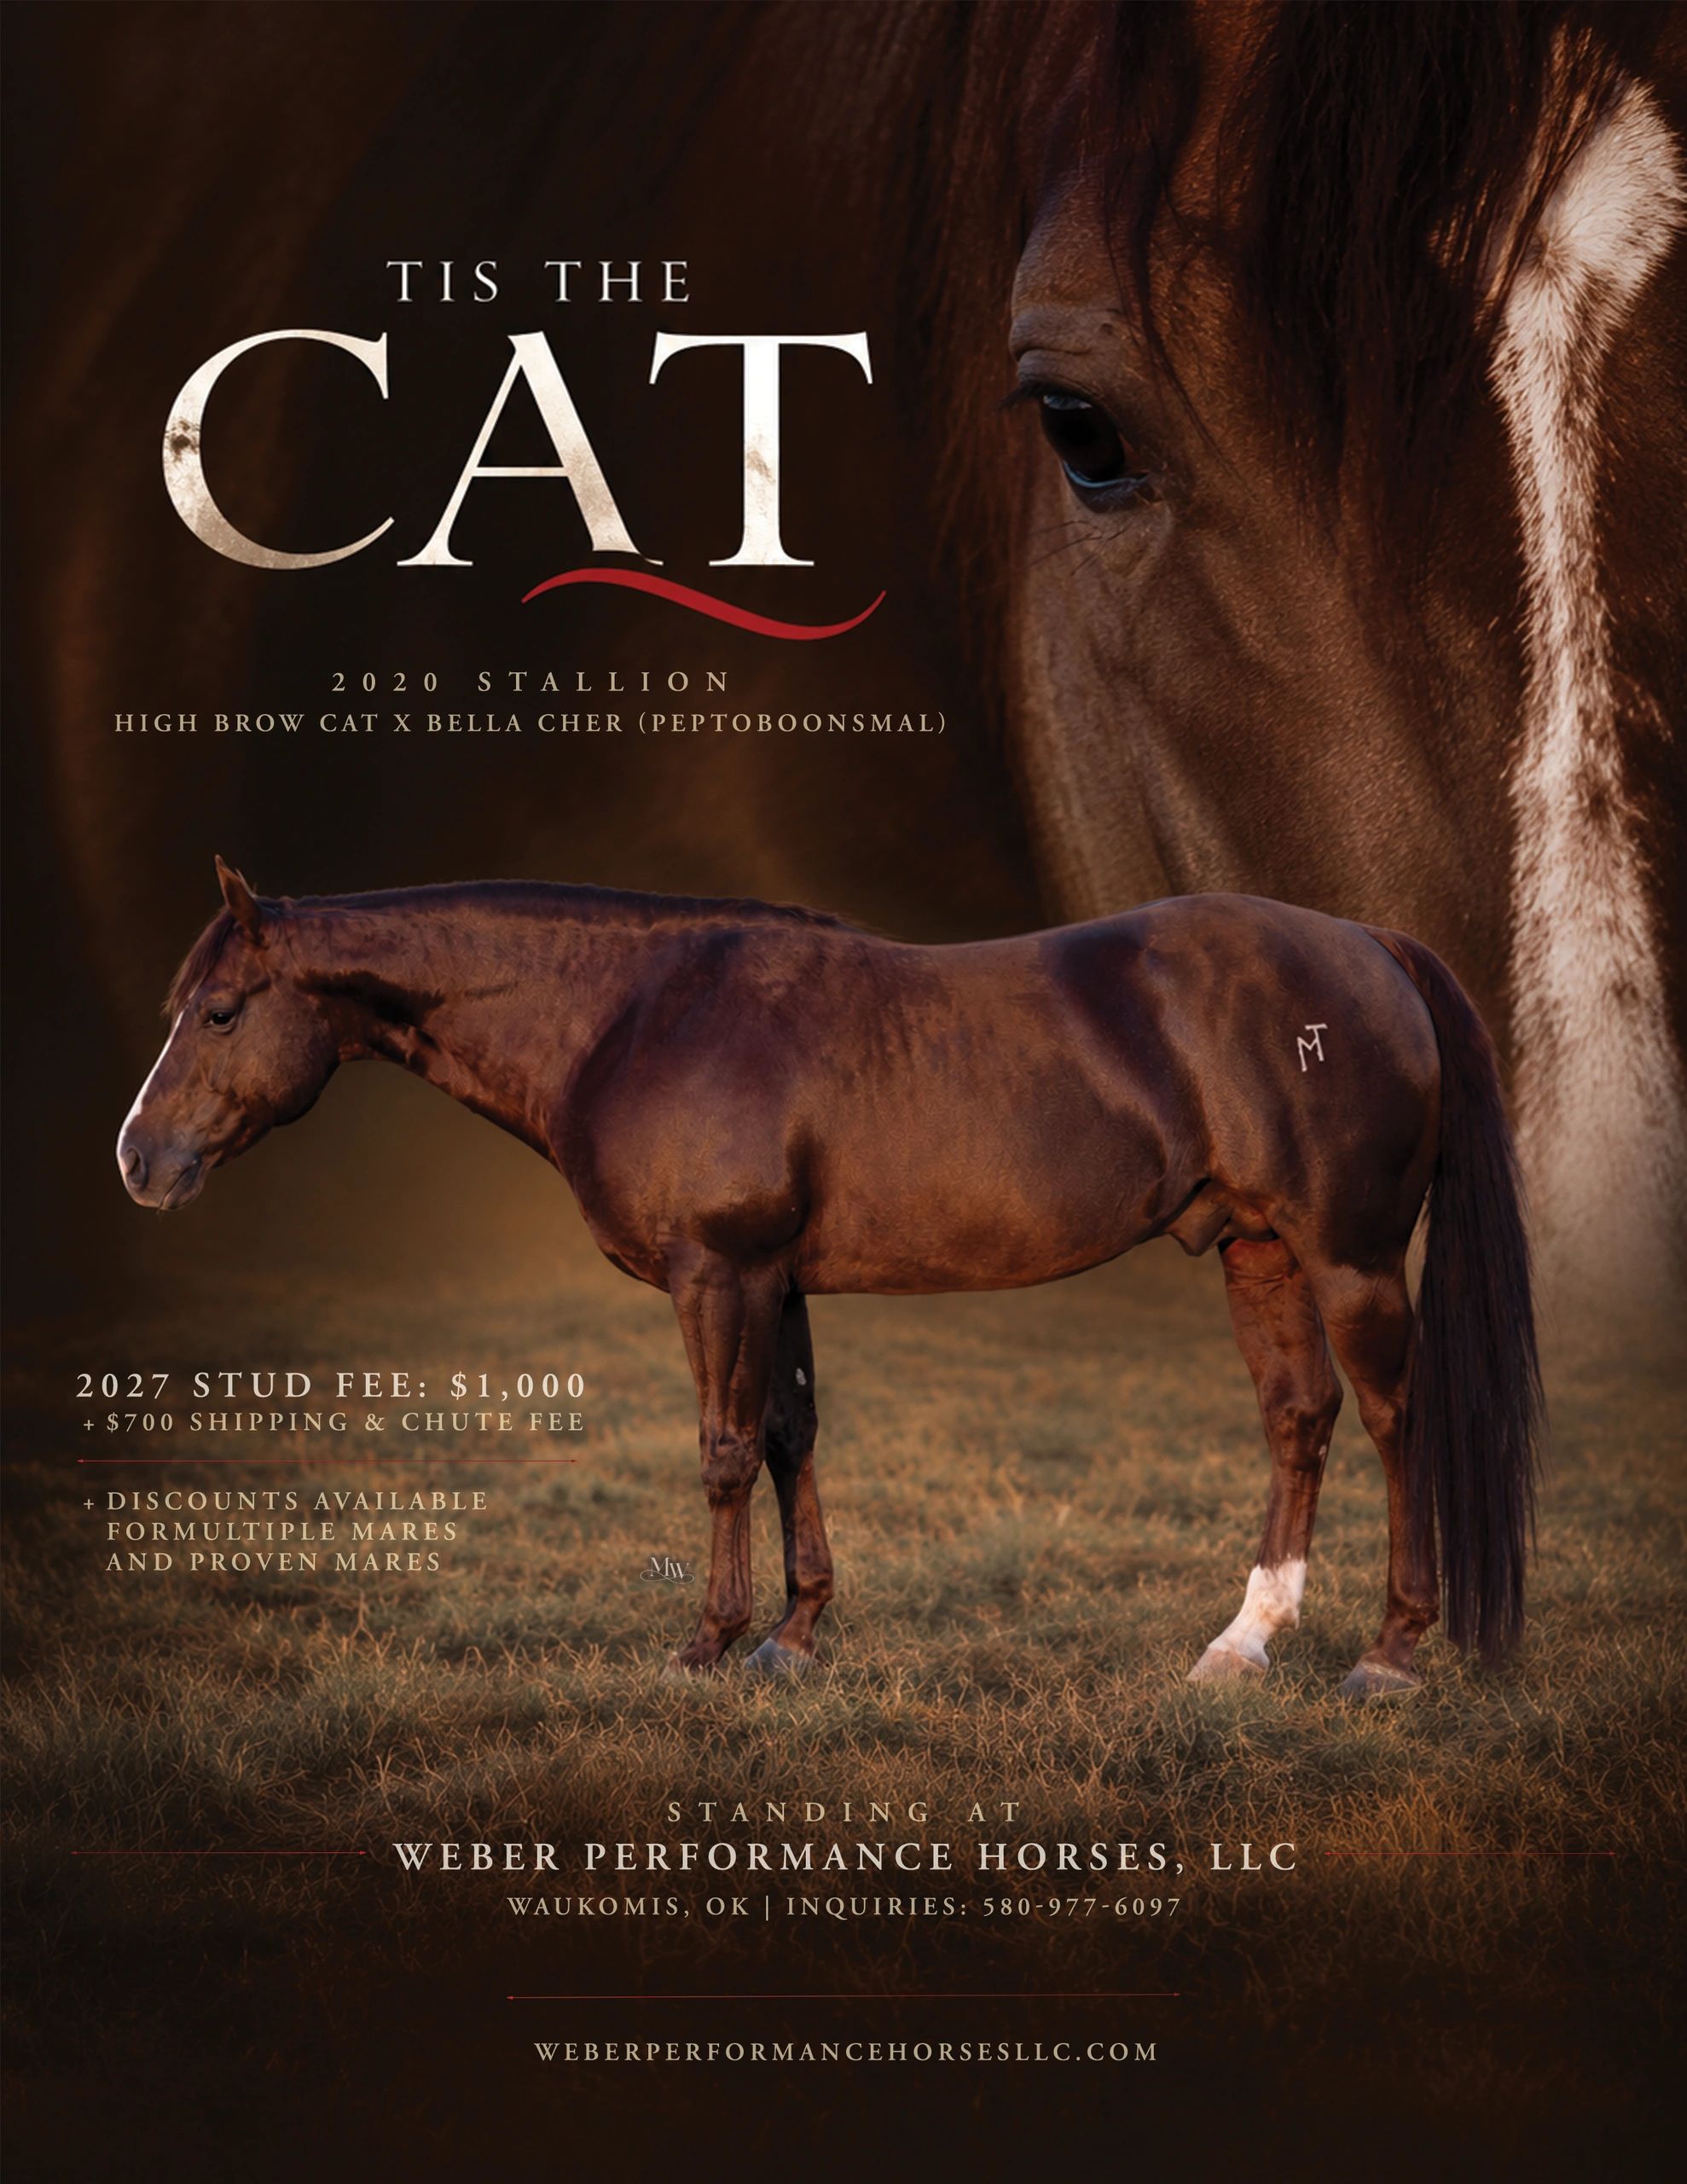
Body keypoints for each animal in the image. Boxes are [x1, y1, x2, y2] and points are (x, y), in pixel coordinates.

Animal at [118, 858, 1541, 1698]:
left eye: (223, 1011)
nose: (139, 1160)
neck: (635, 1012)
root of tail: (1366, 941)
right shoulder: (777, 1281)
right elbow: (790, 1435)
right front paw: (795, 1639)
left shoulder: (719, 1274)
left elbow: (721, 1452)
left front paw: (707, 1643)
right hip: (1256, 1251)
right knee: (1297, 1421)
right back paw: (1243, 1643)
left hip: (1348, 1257)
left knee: (1393, 1421)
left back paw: (1390, 1653)